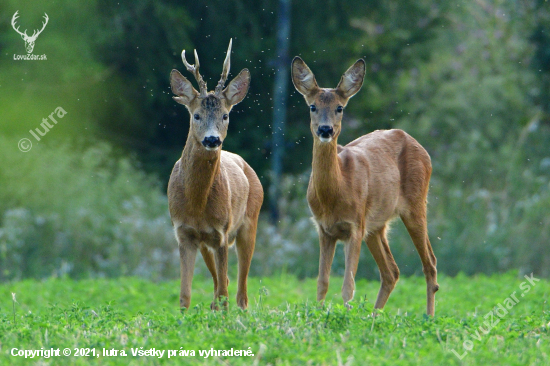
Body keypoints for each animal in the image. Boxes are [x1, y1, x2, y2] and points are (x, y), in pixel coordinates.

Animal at [168, 39, 264, 308]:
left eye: (225, 115)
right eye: (196, 115)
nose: (212, 140)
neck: (197, 203)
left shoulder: (221, 231)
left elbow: (224, 293)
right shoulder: (184, 233)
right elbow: (184, 295)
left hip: (249, 222)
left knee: (240, 290)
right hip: (205, 243)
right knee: (224, 283)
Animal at [294, 56, 440, 314]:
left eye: (339, 108)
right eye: (312, 106)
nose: (325, 129)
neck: (335, 193)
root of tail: (421, 147)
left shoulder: (355, 226)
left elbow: (348, 285)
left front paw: (346, 316)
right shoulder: (324, 229)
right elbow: (322, 283)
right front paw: (319, 314)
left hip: (415, 205)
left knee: (429, 263)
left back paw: (429, 317)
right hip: (376, 225)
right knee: (391, 271)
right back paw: (374, 316)